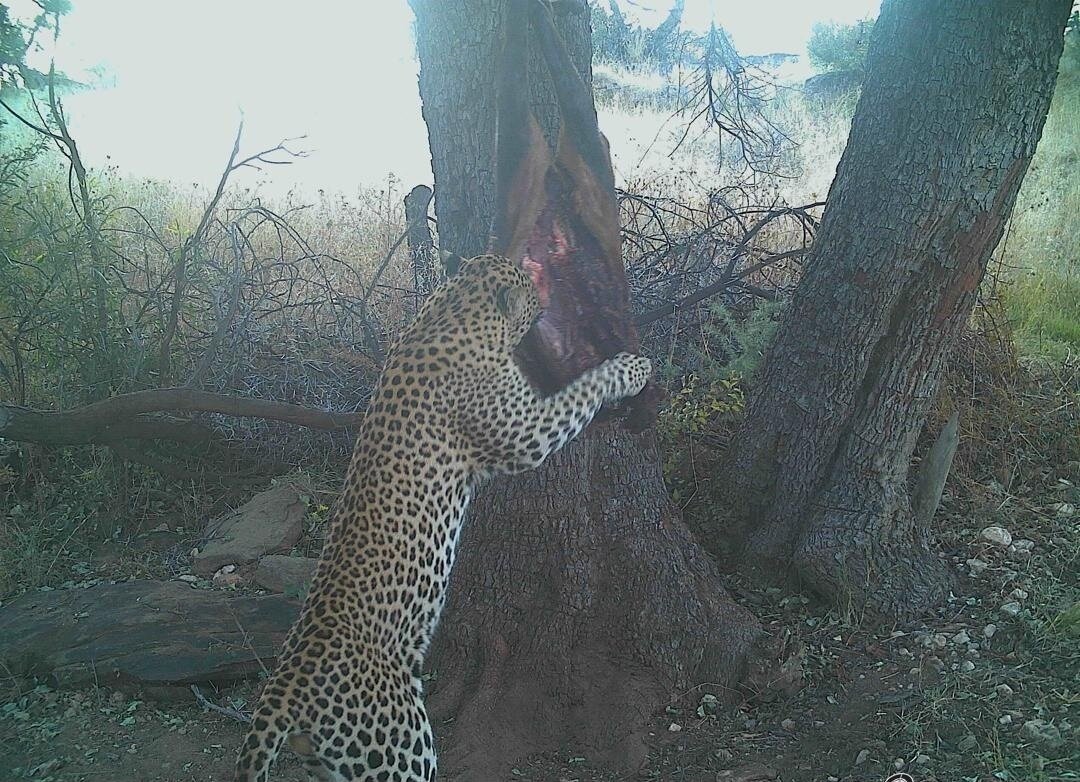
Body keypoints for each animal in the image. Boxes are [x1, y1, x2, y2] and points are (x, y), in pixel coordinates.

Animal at [234, 254, 652, 782]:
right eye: (528, 285)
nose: (547, 297)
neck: (448, 311)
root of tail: (283, 690)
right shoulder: (526, 432)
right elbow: (583, 389)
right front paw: (630, 367)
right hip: (403, 748)